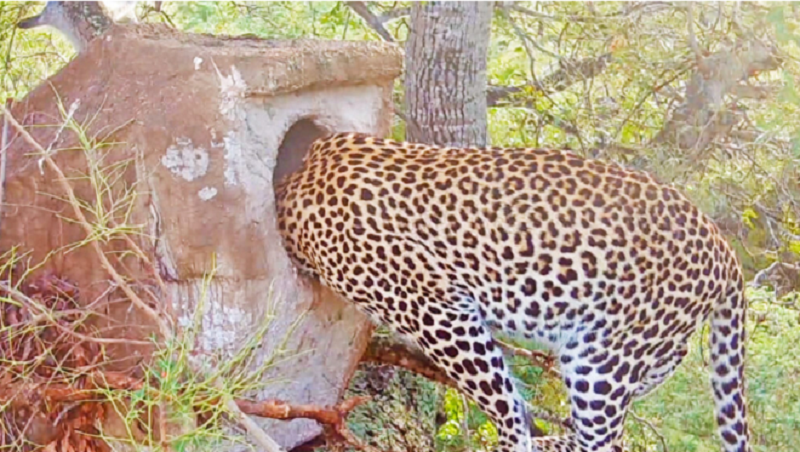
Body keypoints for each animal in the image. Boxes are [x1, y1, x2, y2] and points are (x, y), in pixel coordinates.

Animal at [274, 132, 751, 452]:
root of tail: (725, 250)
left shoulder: (441, 311)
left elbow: (504, 404)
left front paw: (514, 439)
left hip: (598, 366)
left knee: (606, 441)